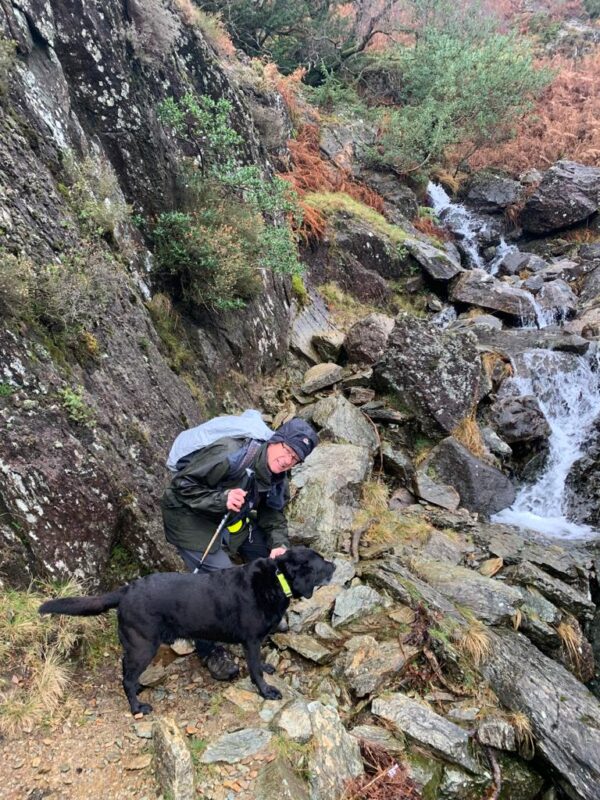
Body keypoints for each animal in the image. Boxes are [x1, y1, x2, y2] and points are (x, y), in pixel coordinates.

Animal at [39, 548, 336, 716]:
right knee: (126, 678)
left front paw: (267, 667)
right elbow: (254, 670)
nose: (334, 565)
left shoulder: (255, 641)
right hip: (143, 645)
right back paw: (137, 708)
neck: (277, 578)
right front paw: (266, 691)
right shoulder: (251, 640)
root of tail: (125, 590)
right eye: (320, 562)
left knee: (126, 673)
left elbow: (259, 662)